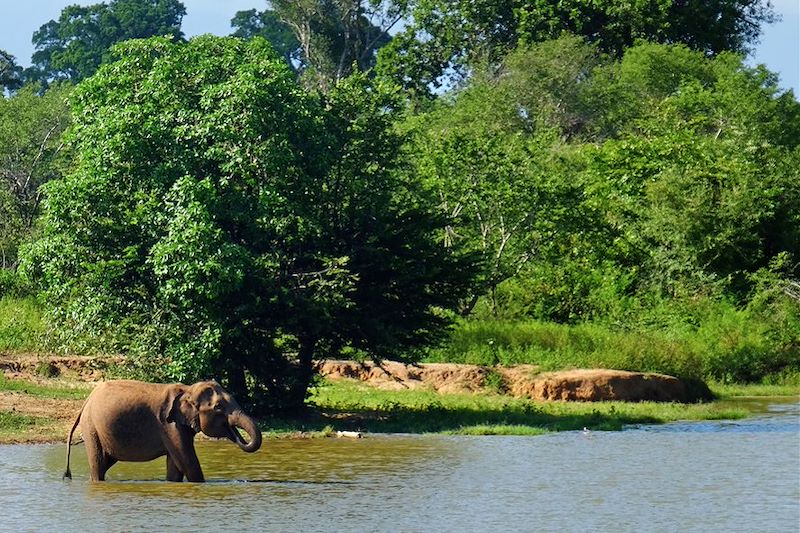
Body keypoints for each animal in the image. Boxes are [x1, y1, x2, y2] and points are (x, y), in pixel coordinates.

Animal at [64, 378, 262, 482]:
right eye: (219, 407)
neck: (188, 389)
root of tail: (86, 401)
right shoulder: (168, 425)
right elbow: (187, 461)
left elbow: (176, 465)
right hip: (91, 427)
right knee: (98, 462)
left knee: (105, 461)